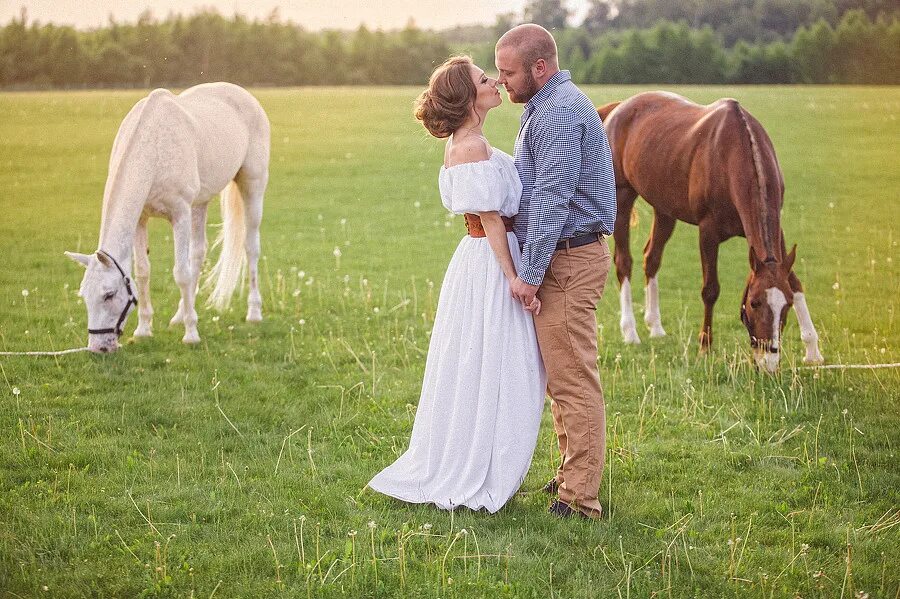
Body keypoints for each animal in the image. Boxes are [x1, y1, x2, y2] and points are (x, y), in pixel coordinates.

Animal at [65, 82, 270, 353]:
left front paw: (191, 334)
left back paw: (254, 312)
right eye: (84, 295)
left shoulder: (180, 214)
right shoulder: (141, 220)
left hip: (252, 184)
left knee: (250, 247)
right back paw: (180, 315)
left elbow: (181, 273)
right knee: (198, 252)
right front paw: (144, 329)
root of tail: (243, 94)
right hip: (200, 203)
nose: (98, 347)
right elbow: (143, 271)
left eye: (109, 294)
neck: (154, 148)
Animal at [597, 91, 823, 372]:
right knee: (623, 262)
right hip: (622, 196)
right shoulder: (708, 231)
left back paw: (655, 326)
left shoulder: (776, 233)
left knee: (652, 258)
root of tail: (619, 108)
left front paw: (812, 349)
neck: (733, 155)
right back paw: (630, 331)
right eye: (754, 302)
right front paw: (704, 348)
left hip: (665, 208)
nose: (769, 361)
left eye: (787, 305)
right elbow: (710, 289)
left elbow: (795, 282)